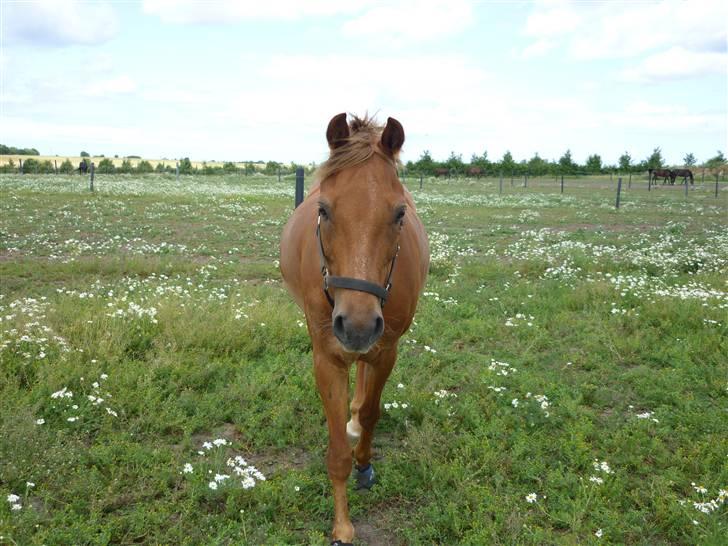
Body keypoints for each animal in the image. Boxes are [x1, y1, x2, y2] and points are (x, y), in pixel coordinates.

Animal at [278, 112, 426, 540]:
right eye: (324, 209)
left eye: (399, 213)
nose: (357, 325)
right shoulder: (327, 358)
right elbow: (336, 454)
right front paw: (342, 526)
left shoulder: (386, 349)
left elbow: (374, 412)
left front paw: (365, 463)